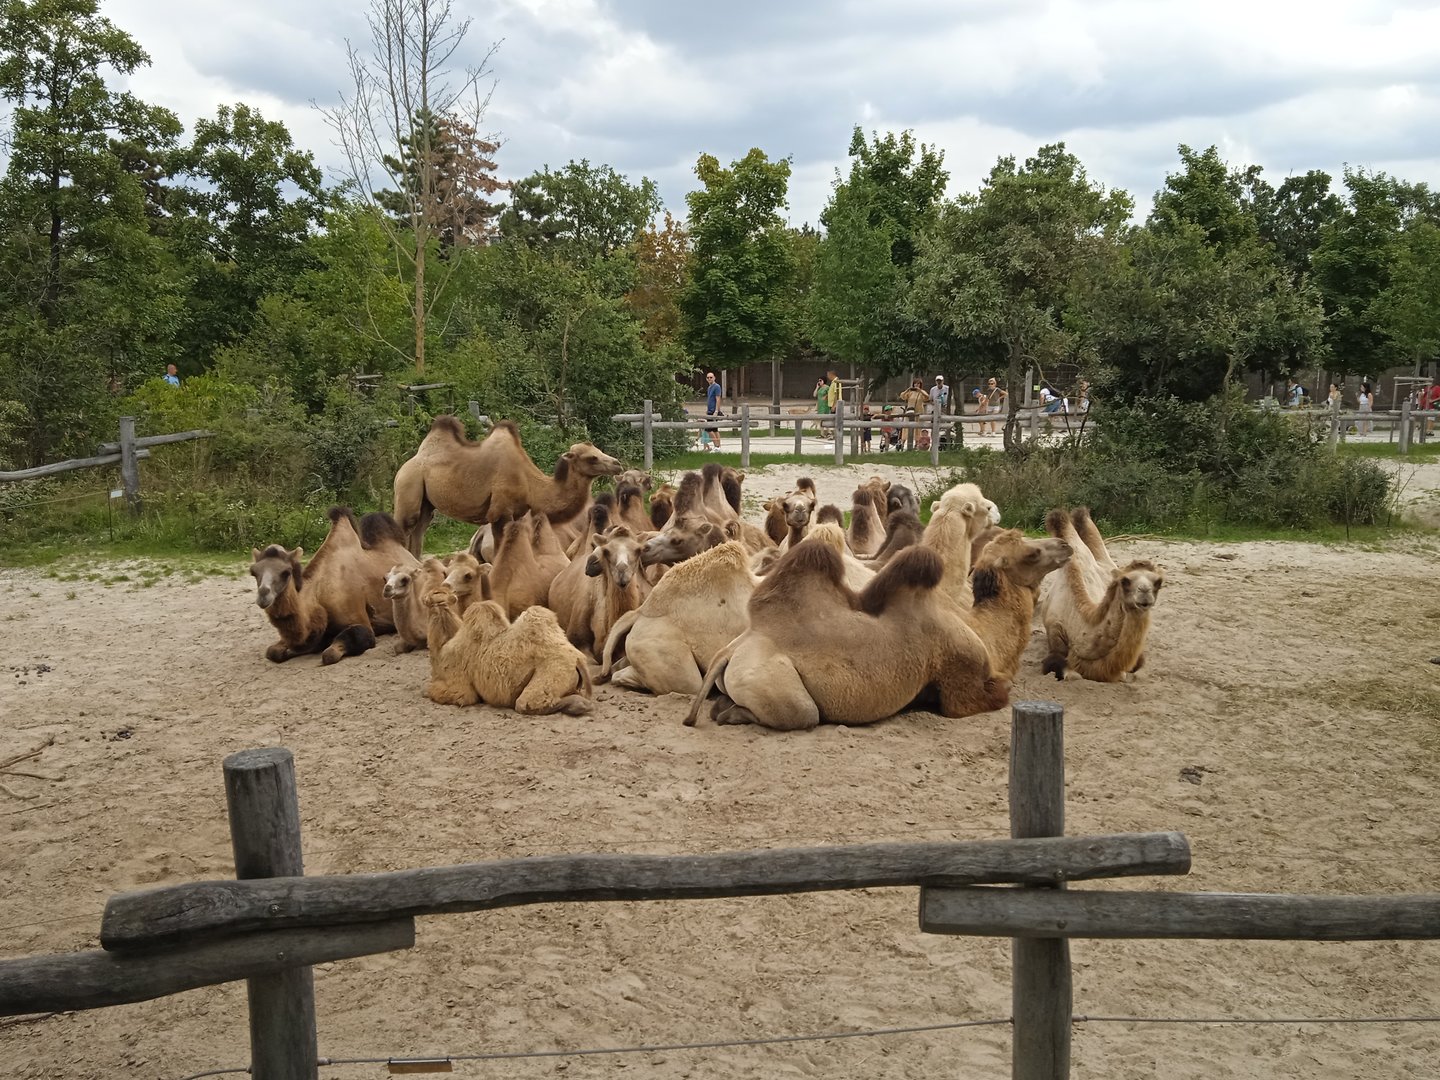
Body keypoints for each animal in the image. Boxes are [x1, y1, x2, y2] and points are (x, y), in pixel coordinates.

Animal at [249, 507, 415, 664]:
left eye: (286, 572)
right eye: (253, 572)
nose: (263, 595)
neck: (318, 594)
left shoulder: (361, 622)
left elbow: (330, 654)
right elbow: (273, 651)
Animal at [393, 416, 624, 555]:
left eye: (598, 450)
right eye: (592, 458)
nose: (617, 464)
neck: (530, 484)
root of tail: (410, 462)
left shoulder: (517, 513)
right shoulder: (499, 512)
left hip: (426, 502)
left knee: (419, 530)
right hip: (409, 483)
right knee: (405, 525)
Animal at [423, 589, 594, 715]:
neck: (442, 649)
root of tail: (578, 660)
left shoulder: (459, 688)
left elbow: (436, 691)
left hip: (551, 672)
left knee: (526, 703)